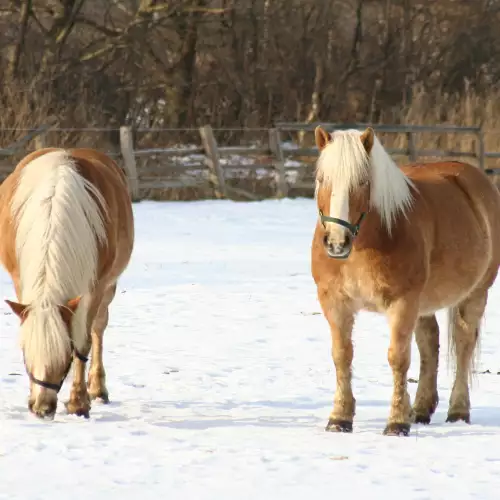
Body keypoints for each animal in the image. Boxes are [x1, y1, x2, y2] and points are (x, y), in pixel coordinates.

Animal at [0, 147, 134, 418]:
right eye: (25, 355)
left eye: (65, 359)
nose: (41, 408)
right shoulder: (21, 283)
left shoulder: (94, 289)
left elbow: (83, 342)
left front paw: (78, 402)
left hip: (108, 289)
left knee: (98, 330)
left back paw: (97, 389)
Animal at [310, 127, 500, 436]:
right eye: (321, 179)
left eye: (362, 181)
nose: (337, 242)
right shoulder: (335, 303)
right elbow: (342, 355)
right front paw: (340, 417)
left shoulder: (402, 303)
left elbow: (398, 358)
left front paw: (397, 422)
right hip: (424, 304)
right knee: (429, 343)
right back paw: (421, 409)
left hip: (474, 294)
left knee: (463, 345)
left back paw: (458, 410)